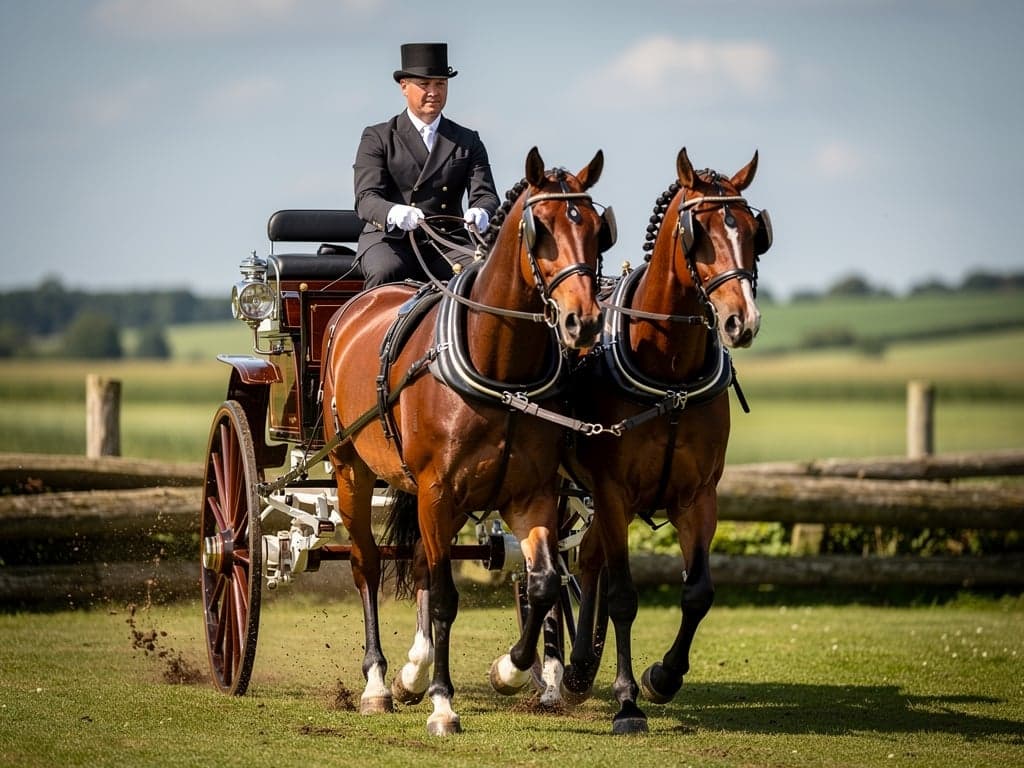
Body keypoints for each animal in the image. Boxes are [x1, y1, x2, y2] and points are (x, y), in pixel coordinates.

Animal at [320, 146, 613, 736]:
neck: (499, 368)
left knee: (418, 563)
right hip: (349, 469)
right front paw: (442, 702)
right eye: (541, 228)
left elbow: (544, 584)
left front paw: (511, 670)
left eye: (598, 230)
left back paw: (410, 673)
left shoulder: (531, 495)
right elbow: (445, 599)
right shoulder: (437, 492)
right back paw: (378, 682)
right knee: (367, 563)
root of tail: (355, 306)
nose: (584, 321)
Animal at [561, 147, 772, 733]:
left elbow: (698, 592)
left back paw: (579, 669)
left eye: (755, 231)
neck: (669, 372)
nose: (741, 321)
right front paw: (627, 700)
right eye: (698, 232)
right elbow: (623, 596)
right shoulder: (612, 492)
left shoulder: (697, 496)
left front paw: (663, 676)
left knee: (586, 561)